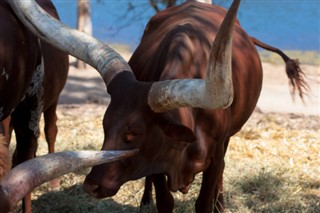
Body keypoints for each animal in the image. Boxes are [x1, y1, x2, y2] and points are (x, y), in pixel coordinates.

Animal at [8, 0, 308, 213]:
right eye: (105, 127)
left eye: (134, 134)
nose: (91, 185)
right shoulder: (156, 162)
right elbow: (165, 200)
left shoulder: (213, 159)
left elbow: (205, 198)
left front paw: (214, 204)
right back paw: (144, 201)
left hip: (228, 140)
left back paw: (221, 204)